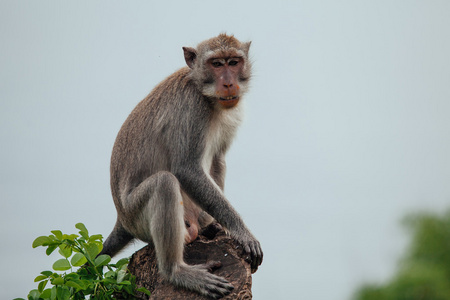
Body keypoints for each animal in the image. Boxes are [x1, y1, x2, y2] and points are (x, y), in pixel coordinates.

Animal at [101, 34, 264, 298]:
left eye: (233, 62)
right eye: (216, 64)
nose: (229, 83)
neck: (204, 93)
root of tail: (121, 220)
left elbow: (218, 158)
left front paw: (217, 225)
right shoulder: (192, 108)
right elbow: (186, 169)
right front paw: (243, 233)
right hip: (136, 216)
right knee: (164, 183)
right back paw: (176, 272)